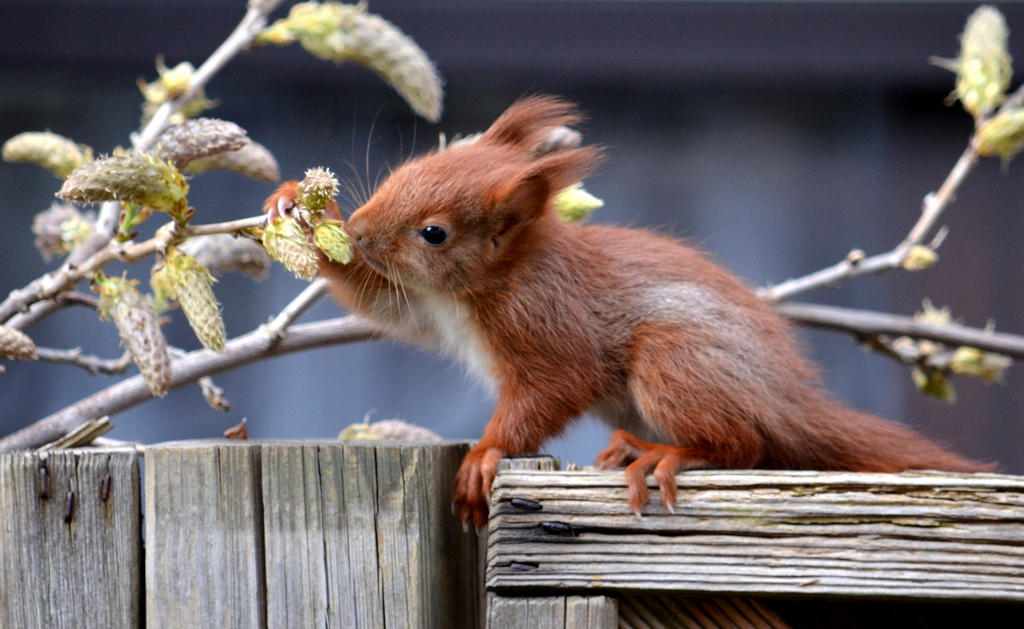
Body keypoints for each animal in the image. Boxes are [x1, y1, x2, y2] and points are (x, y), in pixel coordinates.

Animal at [264, 96, 991, 528]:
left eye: (434, 233)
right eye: (405, 170)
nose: (361, 230)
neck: (484, 285)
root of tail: (786, 400)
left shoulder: (548, 327)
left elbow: (549, 392)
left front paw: (486, 454)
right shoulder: (423, 306)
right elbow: (373, 300)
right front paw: (299, 209)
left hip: (674, 357)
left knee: (749, 444)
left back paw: (664, 456)